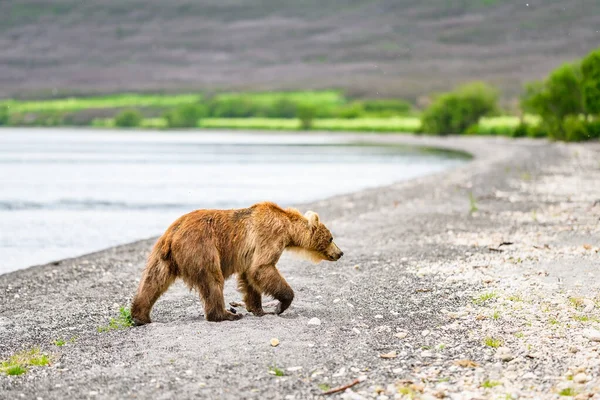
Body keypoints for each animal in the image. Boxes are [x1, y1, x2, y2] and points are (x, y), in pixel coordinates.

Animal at [132, 202, 344, 324]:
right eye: (331, 237)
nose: (340, 253)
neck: (288, 228)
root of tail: (173, 234)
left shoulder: (249, 254)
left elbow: (250, 277)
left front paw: (259, 309)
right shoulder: (269, 235)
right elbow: (262, 268)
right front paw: (279, 306)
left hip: (163, 255)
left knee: (153, 280)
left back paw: (139, 316)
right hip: (201, 247)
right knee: (212, 280)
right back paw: (226, 314)